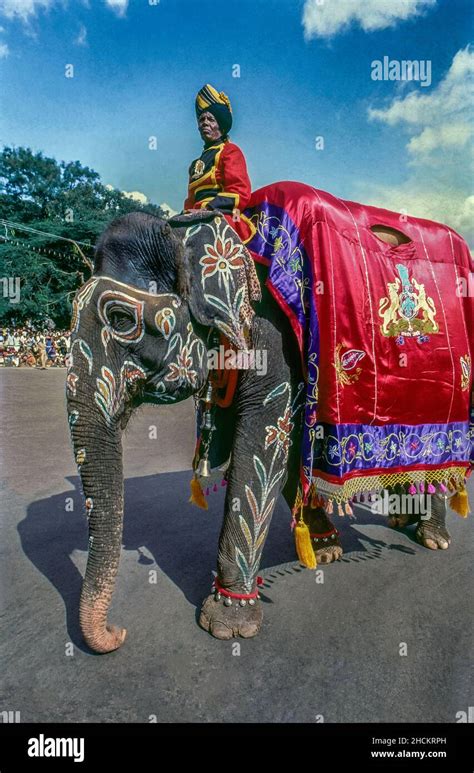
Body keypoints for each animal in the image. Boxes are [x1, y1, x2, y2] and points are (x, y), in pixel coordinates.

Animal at [65, 181, 470, 652]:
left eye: (120, 318)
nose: (118, 633)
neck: (199, 229)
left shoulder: (272, 338)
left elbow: (264, 441)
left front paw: (227, 624)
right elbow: (288, 447)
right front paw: (324, 549)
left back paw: (433, 538)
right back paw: (401, 518)